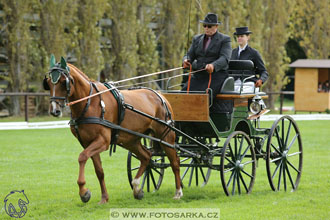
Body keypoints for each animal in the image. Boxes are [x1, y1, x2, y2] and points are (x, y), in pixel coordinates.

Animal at [42, 55, 182, 204]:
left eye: (64, 82)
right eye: (49, 83)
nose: (54, 110)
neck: (90, 102)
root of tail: (160, 95)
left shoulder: (102, 141)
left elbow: (82, 157)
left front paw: (84, 192)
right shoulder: (88, 143)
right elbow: (99, 171)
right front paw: (104, 197)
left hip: (166, 136)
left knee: (175, 162)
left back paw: (178, 192)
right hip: (131, 140)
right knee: (146, 157)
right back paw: (137, 188)